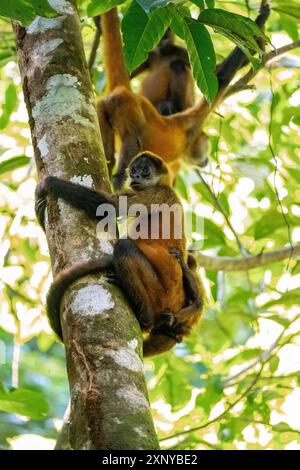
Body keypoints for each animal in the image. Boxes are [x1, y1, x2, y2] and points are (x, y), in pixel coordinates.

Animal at [35, 153, 204, 356]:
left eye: (145, 170)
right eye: (134, 170)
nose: (136, 176)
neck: (165, 186)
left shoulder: (157, 193)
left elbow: (110, 206)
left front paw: (49, 183)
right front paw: (40, 210)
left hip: (160, 293)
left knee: (124, 246)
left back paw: (146, 318)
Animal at [97, 4, 270, 190]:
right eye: (206, 147)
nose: (206, 160)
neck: (187, 144)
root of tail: (123, 90)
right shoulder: (192, 124)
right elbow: (221, 76)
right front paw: (261, 18)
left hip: (103, 107)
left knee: (107, 154)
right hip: (129, 106)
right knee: (131, 142)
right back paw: (118, 180)